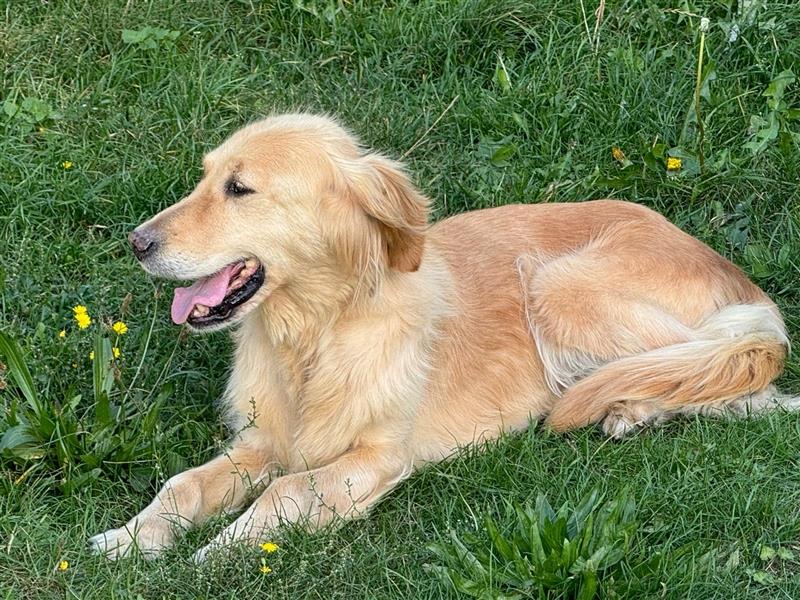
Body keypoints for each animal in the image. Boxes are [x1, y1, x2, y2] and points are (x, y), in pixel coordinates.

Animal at [89, 113, 792, 564]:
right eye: (205, 178)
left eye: (240, 188)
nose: (136, 243)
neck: (317, 331)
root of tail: (734, 273)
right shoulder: (265, 440)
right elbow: (182, 485)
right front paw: (129, 539)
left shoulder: (379, 456)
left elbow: (285, 491)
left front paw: (218, 552)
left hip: (558, 285)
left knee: (740, 381)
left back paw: (633, 409)